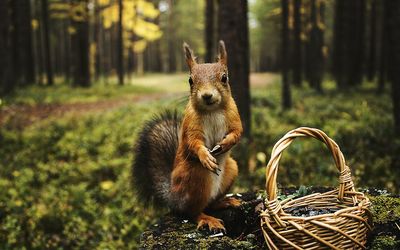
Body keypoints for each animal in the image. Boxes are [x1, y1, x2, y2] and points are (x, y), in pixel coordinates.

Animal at [133, 40, 242, 232]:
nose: (207, 95)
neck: (212, 110)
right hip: (195, 176)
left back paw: (225, 202)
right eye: (190, 80)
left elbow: (237, 132)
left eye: (224, 77)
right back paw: (207, 218)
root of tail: (173, 198)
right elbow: (193, 142)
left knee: (210, 204)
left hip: (231, 168)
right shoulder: (191, 124)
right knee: (191, 212)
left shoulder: (234, 116)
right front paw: (205, 156)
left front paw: (225, 144)